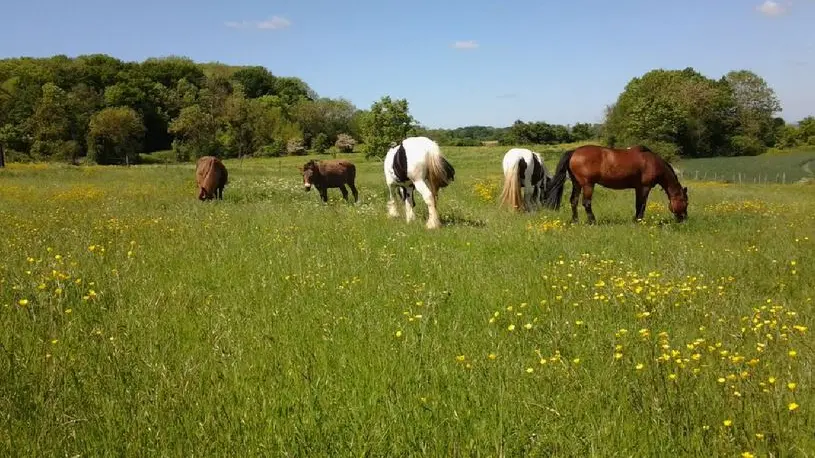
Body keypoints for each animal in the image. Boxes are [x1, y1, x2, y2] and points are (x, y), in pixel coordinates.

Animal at [548, 145, 688, 224]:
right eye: (686, 202)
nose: (684, 219)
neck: (652, 162)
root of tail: (574, 151)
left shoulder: (638, 188)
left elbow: (638, 204)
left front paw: (635, 219)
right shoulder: (645, 187)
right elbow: (642, 204)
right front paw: (639, 220)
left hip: (577, 184)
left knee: (573, 201)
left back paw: (575, 221)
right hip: (588, 184)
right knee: (586, 203)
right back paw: (592, 221)